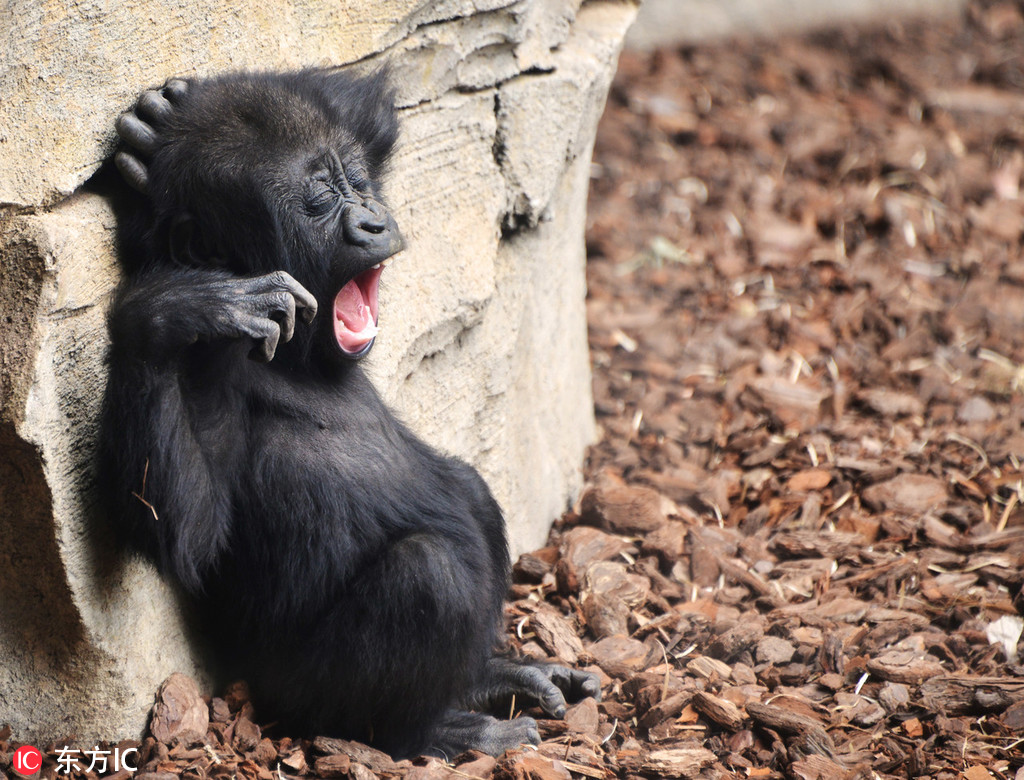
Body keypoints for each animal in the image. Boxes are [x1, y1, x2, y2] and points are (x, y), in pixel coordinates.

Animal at [98, 70, 598, 757]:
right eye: (317, 198)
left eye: (357, 182)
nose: (370, 220)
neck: (294, 360)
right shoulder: (208, 372)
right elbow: (189, 531)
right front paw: (163, 314)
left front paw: (156, 127)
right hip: (300, 695)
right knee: (427, 575)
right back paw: (433, 729)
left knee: (466, 489)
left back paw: (485, 681)